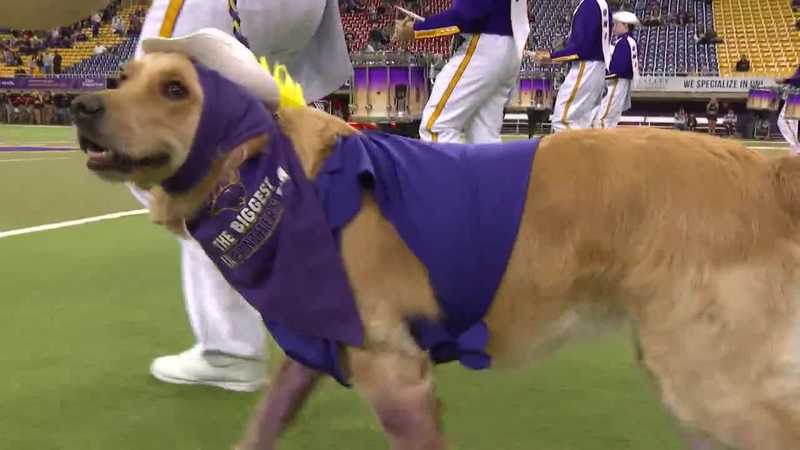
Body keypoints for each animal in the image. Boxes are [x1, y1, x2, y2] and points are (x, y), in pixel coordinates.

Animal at [73, 50, 800, 450]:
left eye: (176, 90)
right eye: (121, 76)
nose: (81, 104)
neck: (281, 181)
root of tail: (766, 172)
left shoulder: (397, 375)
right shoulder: (317, 349)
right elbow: (263, 425)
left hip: (709, 380)